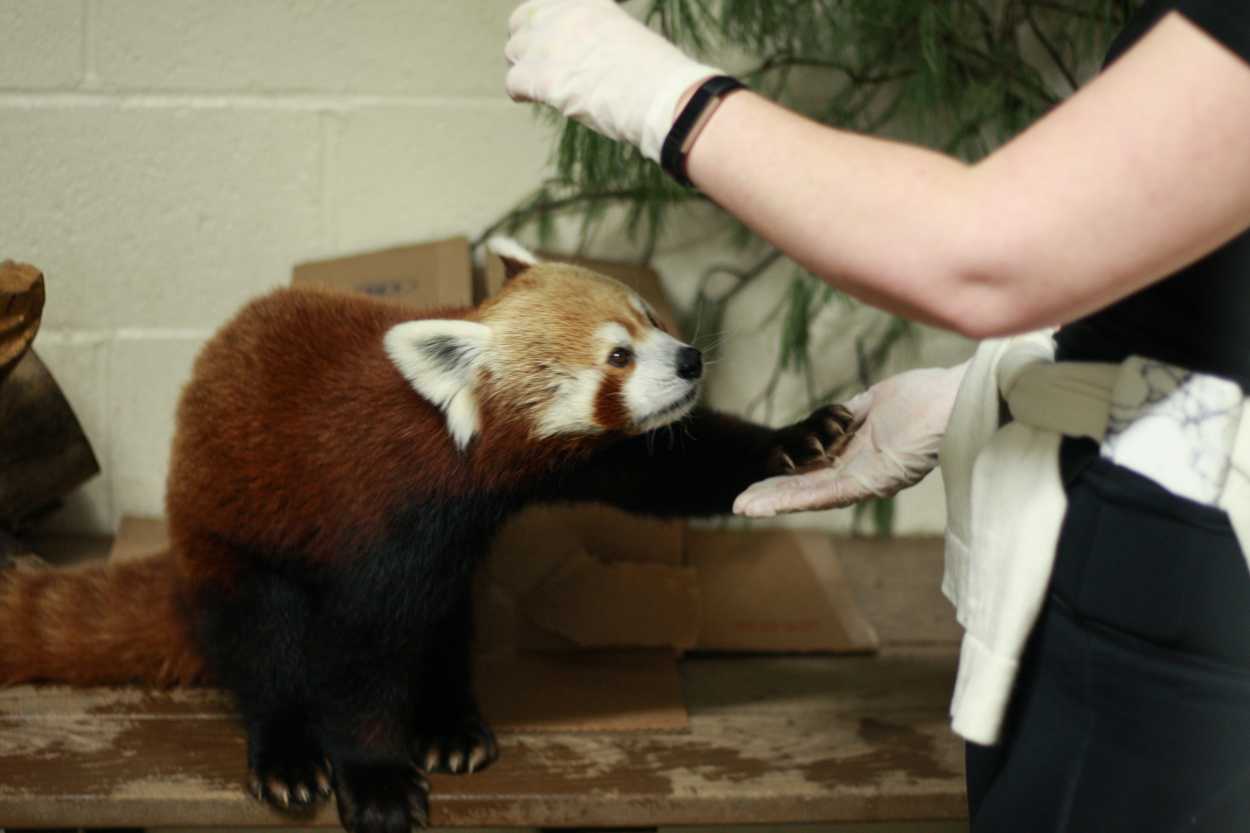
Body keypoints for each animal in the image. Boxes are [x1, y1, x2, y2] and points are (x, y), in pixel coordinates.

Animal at [0, 240, 850, 830]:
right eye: (618, 354)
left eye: (649, 315)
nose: (690, 358)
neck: (458, 460)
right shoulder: (365, 522)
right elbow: (354, 660)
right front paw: (376, 779)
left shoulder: (558, 474)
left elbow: (667, 467)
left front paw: (801, 436)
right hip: (228, 541)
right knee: (261, 645)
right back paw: (287, 755)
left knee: (442, 622)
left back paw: (450, 722)